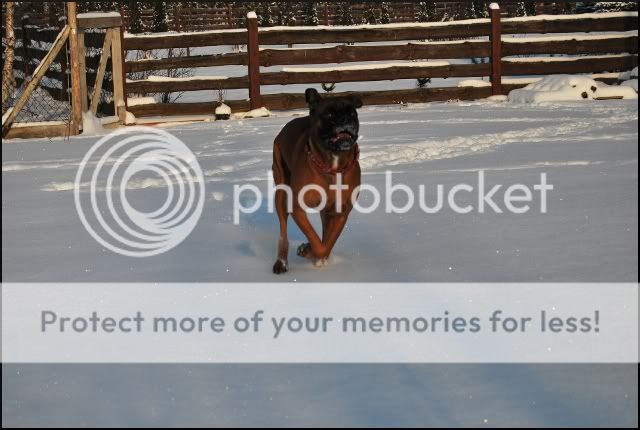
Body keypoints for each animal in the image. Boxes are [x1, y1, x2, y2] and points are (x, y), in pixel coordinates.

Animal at [272, 88, 363, 274]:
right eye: (329, 114)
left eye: (352, 113)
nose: (345, 119)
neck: (333, 163)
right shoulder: (297, 208)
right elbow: (316, 240)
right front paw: (308, 250)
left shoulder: (341, 212)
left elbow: (327, 243)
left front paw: (315, 255)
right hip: (281, 193)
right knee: (283, 232)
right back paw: (281, 262)